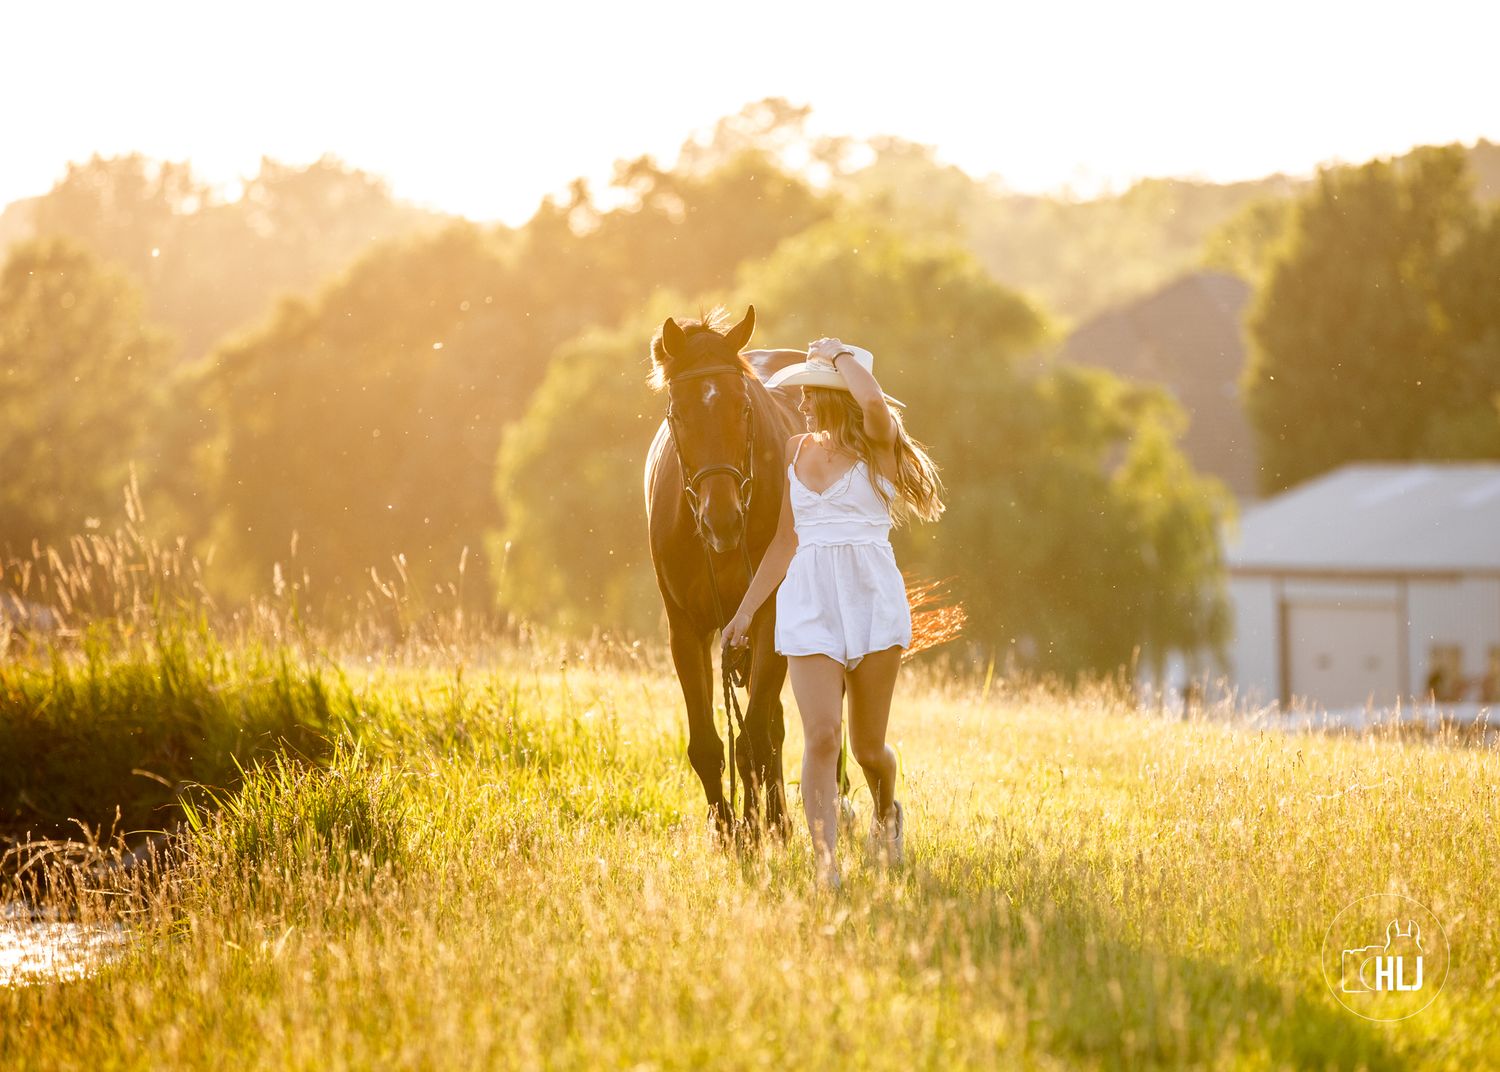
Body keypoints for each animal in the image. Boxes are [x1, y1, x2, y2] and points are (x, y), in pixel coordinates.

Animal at [644, 306, 810, 842]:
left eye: (743, 408)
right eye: (677, 412)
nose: (722, 520)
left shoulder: (768, 618)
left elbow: (754, 737)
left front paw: (757, 831)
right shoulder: (686, 631)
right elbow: (705, 745)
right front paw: (727, 832)